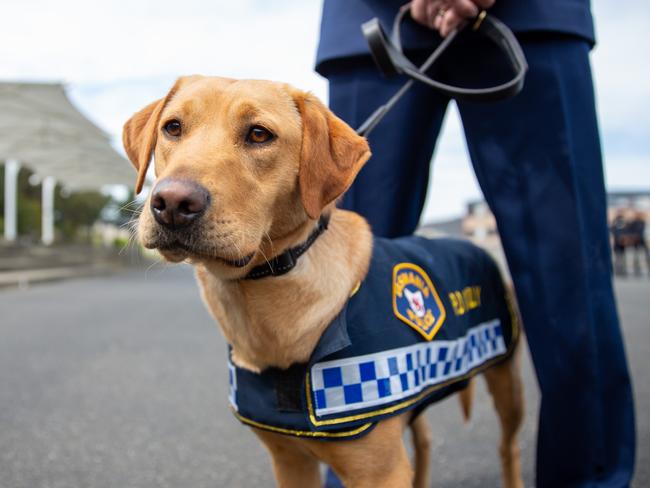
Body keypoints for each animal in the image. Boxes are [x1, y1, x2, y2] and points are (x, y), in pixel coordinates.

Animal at [124, 76, 524, 488]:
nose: (172, 203)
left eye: (259, 134)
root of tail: (472, 245)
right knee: (425, 440)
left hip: (507, 382)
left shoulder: (381, 471)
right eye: (172, 128)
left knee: (507, 447)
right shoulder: (289, 460)